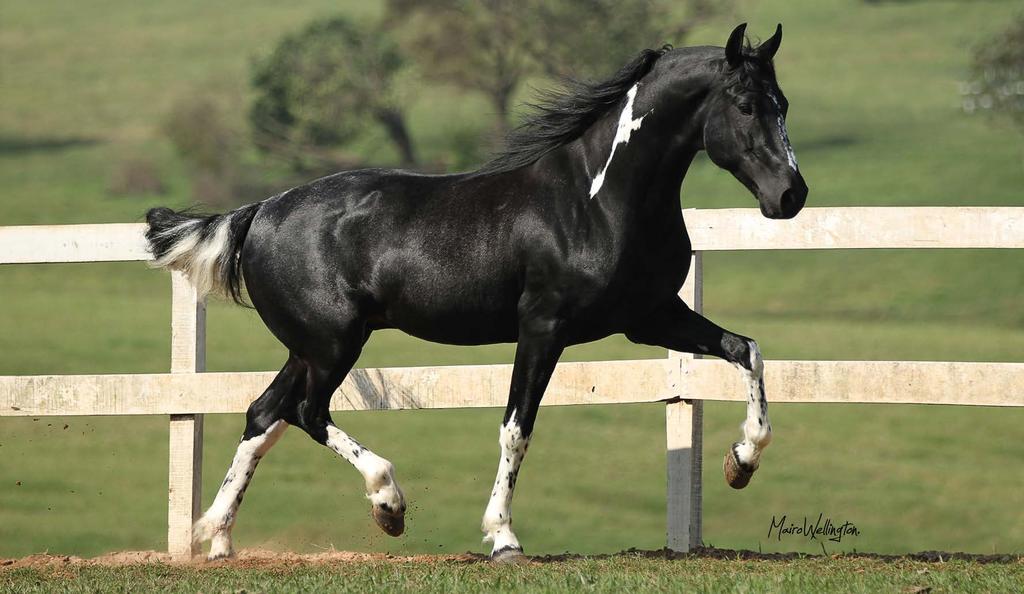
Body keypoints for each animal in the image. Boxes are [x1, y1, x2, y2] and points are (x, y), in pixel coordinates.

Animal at [148, 24, 806, 561]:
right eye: (746, 105)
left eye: (784, 104)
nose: (791, 195)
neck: (597, 201)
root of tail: (259, 212)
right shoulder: (544, 327)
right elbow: (517, 426)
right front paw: (503, 537)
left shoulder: (651, 317)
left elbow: (746, 350)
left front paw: (741, 462)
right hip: (333, 344)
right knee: (307, 412)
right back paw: (388, 504)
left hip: (309, 348)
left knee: (264, 414)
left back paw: (218, 538)